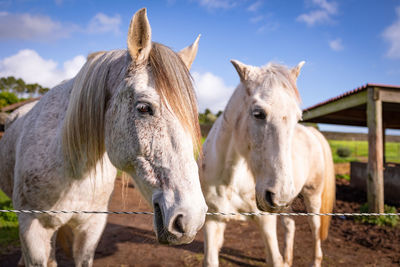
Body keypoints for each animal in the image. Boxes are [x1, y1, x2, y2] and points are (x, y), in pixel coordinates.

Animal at [200, 59, 334, 266]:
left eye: (297, 117)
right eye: (258, 113)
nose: (278, 194)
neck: (231, 179)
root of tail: (312, 132)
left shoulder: (266, 221)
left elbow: (275, 259)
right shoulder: (213, 220)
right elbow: (210, 260)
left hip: (312, 196)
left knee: (315, 229)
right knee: (290, 224)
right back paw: (288, 259)